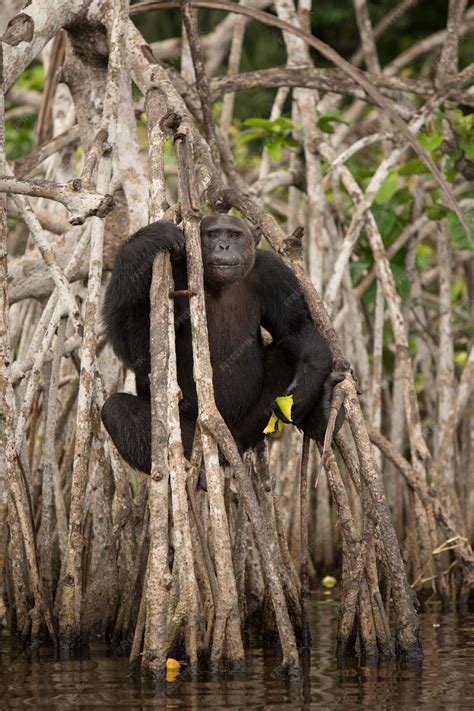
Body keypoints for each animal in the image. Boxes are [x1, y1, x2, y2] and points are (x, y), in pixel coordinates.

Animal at [102, 216, 342, 472]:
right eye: (212, 234)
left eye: (234, 235)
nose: (223, 246)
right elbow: (140, 351)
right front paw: (148, 239)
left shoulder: (274, 272)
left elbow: (297, 328)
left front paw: (303, 390)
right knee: (117, 410)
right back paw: (200, 471)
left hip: (251, 425)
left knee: (286, 354)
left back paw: (323, 414)